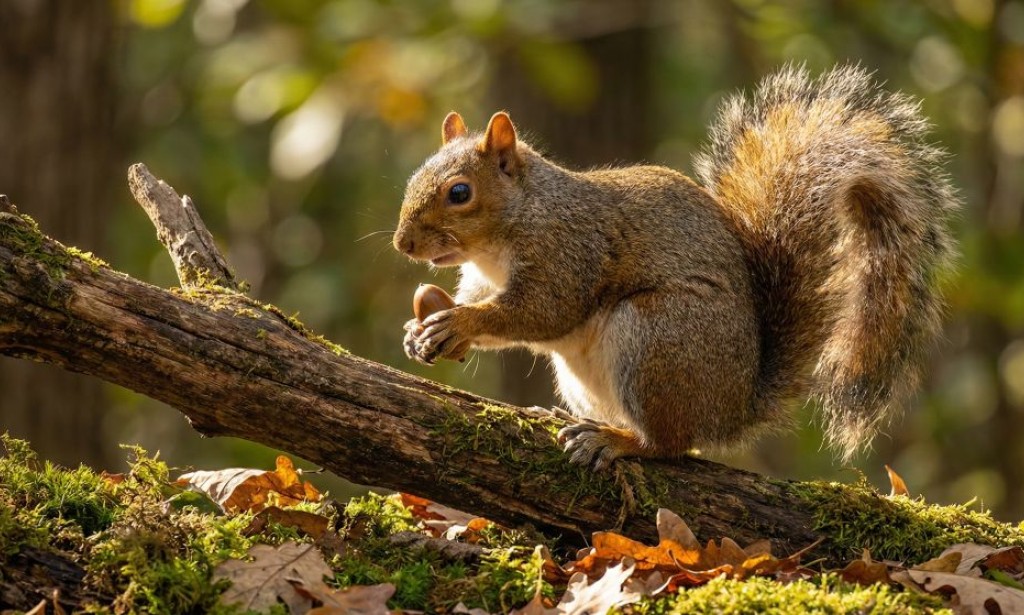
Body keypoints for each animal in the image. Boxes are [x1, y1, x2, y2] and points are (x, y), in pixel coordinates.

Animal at [393, 65, 958, 470]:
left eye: (460, 193)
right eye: (414, 176)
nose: (403, 244)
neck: (502, 238)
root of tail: (733, 409)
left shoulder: (569, 253)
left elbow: (541, 313)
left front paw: (459, 324)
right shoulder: (480, 277)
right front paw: (420, 332)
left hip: (656, 336)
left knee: (671, 444)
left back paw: (617, 441)